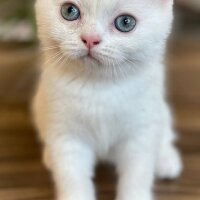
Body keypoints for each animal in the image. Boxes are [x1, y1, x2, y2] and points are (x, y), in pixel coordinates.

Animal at [33, 0, 183, 200]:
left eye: (125, 22)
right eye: (69, 11)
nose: (90, 38)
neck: (99, 86)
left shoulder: (140, 132)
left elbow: (138, 172)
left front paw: (135, 194)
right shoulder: (67, 136)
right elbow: (71, 176)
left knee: (164, 133)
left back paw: (165, 160)